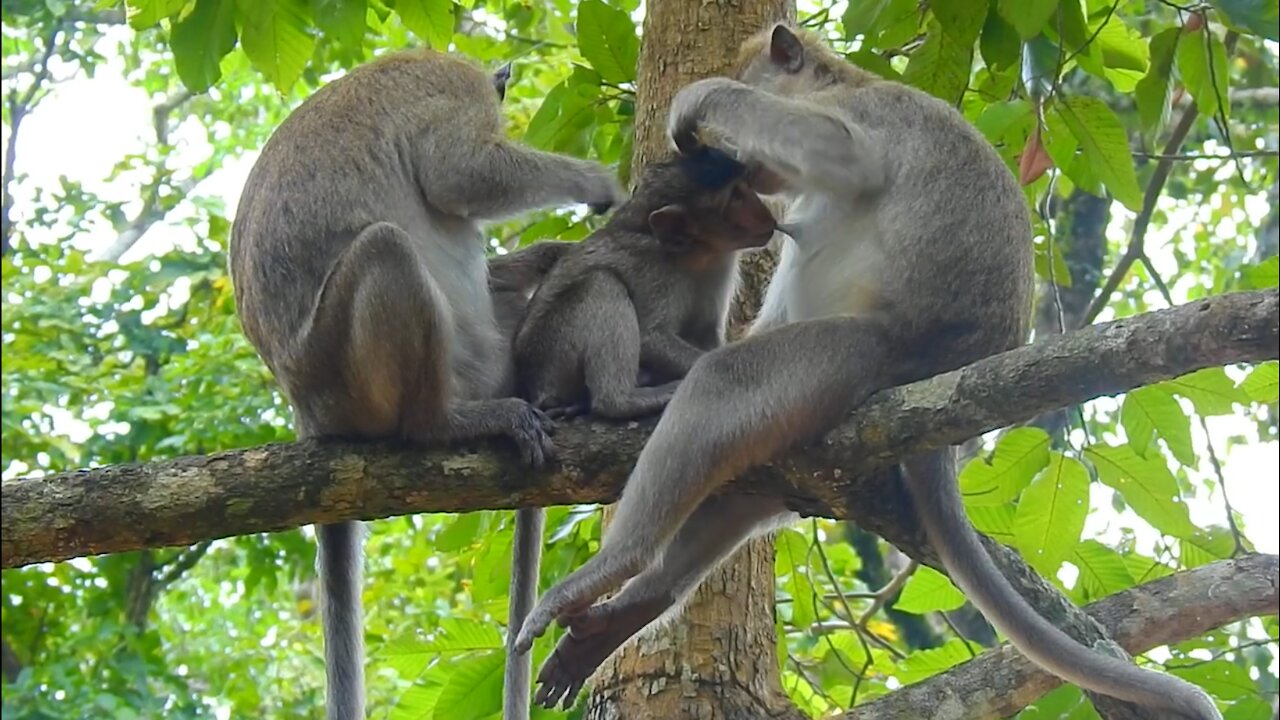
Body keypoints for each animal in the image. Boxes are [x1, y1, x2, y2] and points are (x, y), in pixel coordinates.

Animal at [232, 49, 627, 717]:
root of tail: (307, 411)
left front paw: (553, 248)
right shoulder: (458, 90)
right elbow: (459, 176)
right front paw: (599, 183)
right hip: (346, 369)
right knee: (388, 249)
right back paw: (443, 423)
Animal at [506, 22, 1218, 717]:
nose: (739, 170)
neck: (845, 83)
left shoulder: (863, 112)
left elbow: (843, 154)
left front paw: (700, 102)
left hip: (869, 354)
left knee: (725, 387)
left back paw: (616, 565)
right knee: (749, 475)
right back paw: (626, 609)